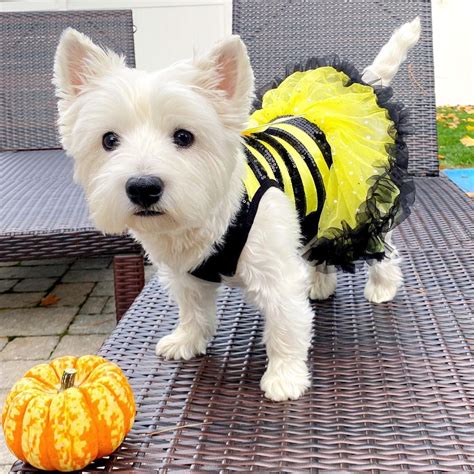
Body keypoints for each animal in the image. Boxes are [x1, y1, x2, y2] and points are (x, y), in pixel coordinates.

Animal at [53, 20, 420, 402]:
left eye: (184, 136)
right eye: (109, 140)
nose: (142, 187)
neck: (212, 214)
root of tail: (362, 86)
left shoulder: (276, 276)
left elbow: (285, 327)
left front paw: (284, 377)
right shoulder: (185, 275)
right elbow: (193, 311)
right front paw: (187, 340)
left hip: (361, 202)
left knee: (380, 245)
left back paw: (383, 285)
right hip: (319, 212)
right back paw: (319, 282)